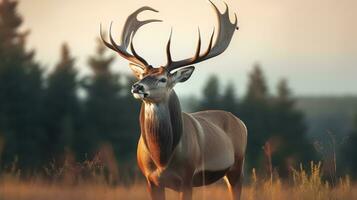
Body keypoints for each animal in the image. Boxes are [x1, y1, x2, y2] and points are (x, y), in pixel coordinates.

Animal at [98, 0, 246, 199]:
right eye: (142, 75)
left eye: (162, 79)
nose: (137, 87)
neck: (162, 159)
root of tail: (240, 122)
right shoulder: (150, 180)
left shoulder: (187, 177)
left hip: (237, 166)